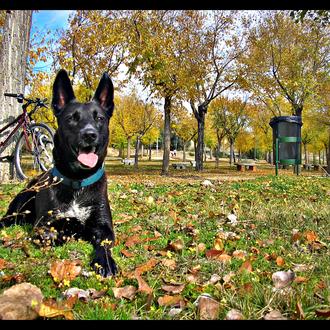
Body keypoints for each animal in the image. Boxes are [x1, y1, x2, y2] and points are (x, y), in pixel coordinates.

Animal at [0, 71, 117, 278]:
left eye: (100, 118)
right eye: (72, 118)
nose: (90, 134)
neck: (78, 181)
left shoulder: (104, 227)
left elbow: (103, 244)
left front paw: (105, 261)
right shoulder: (43, 225)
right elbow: (52, 234)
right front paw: (67, 232)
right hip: (19, 207)